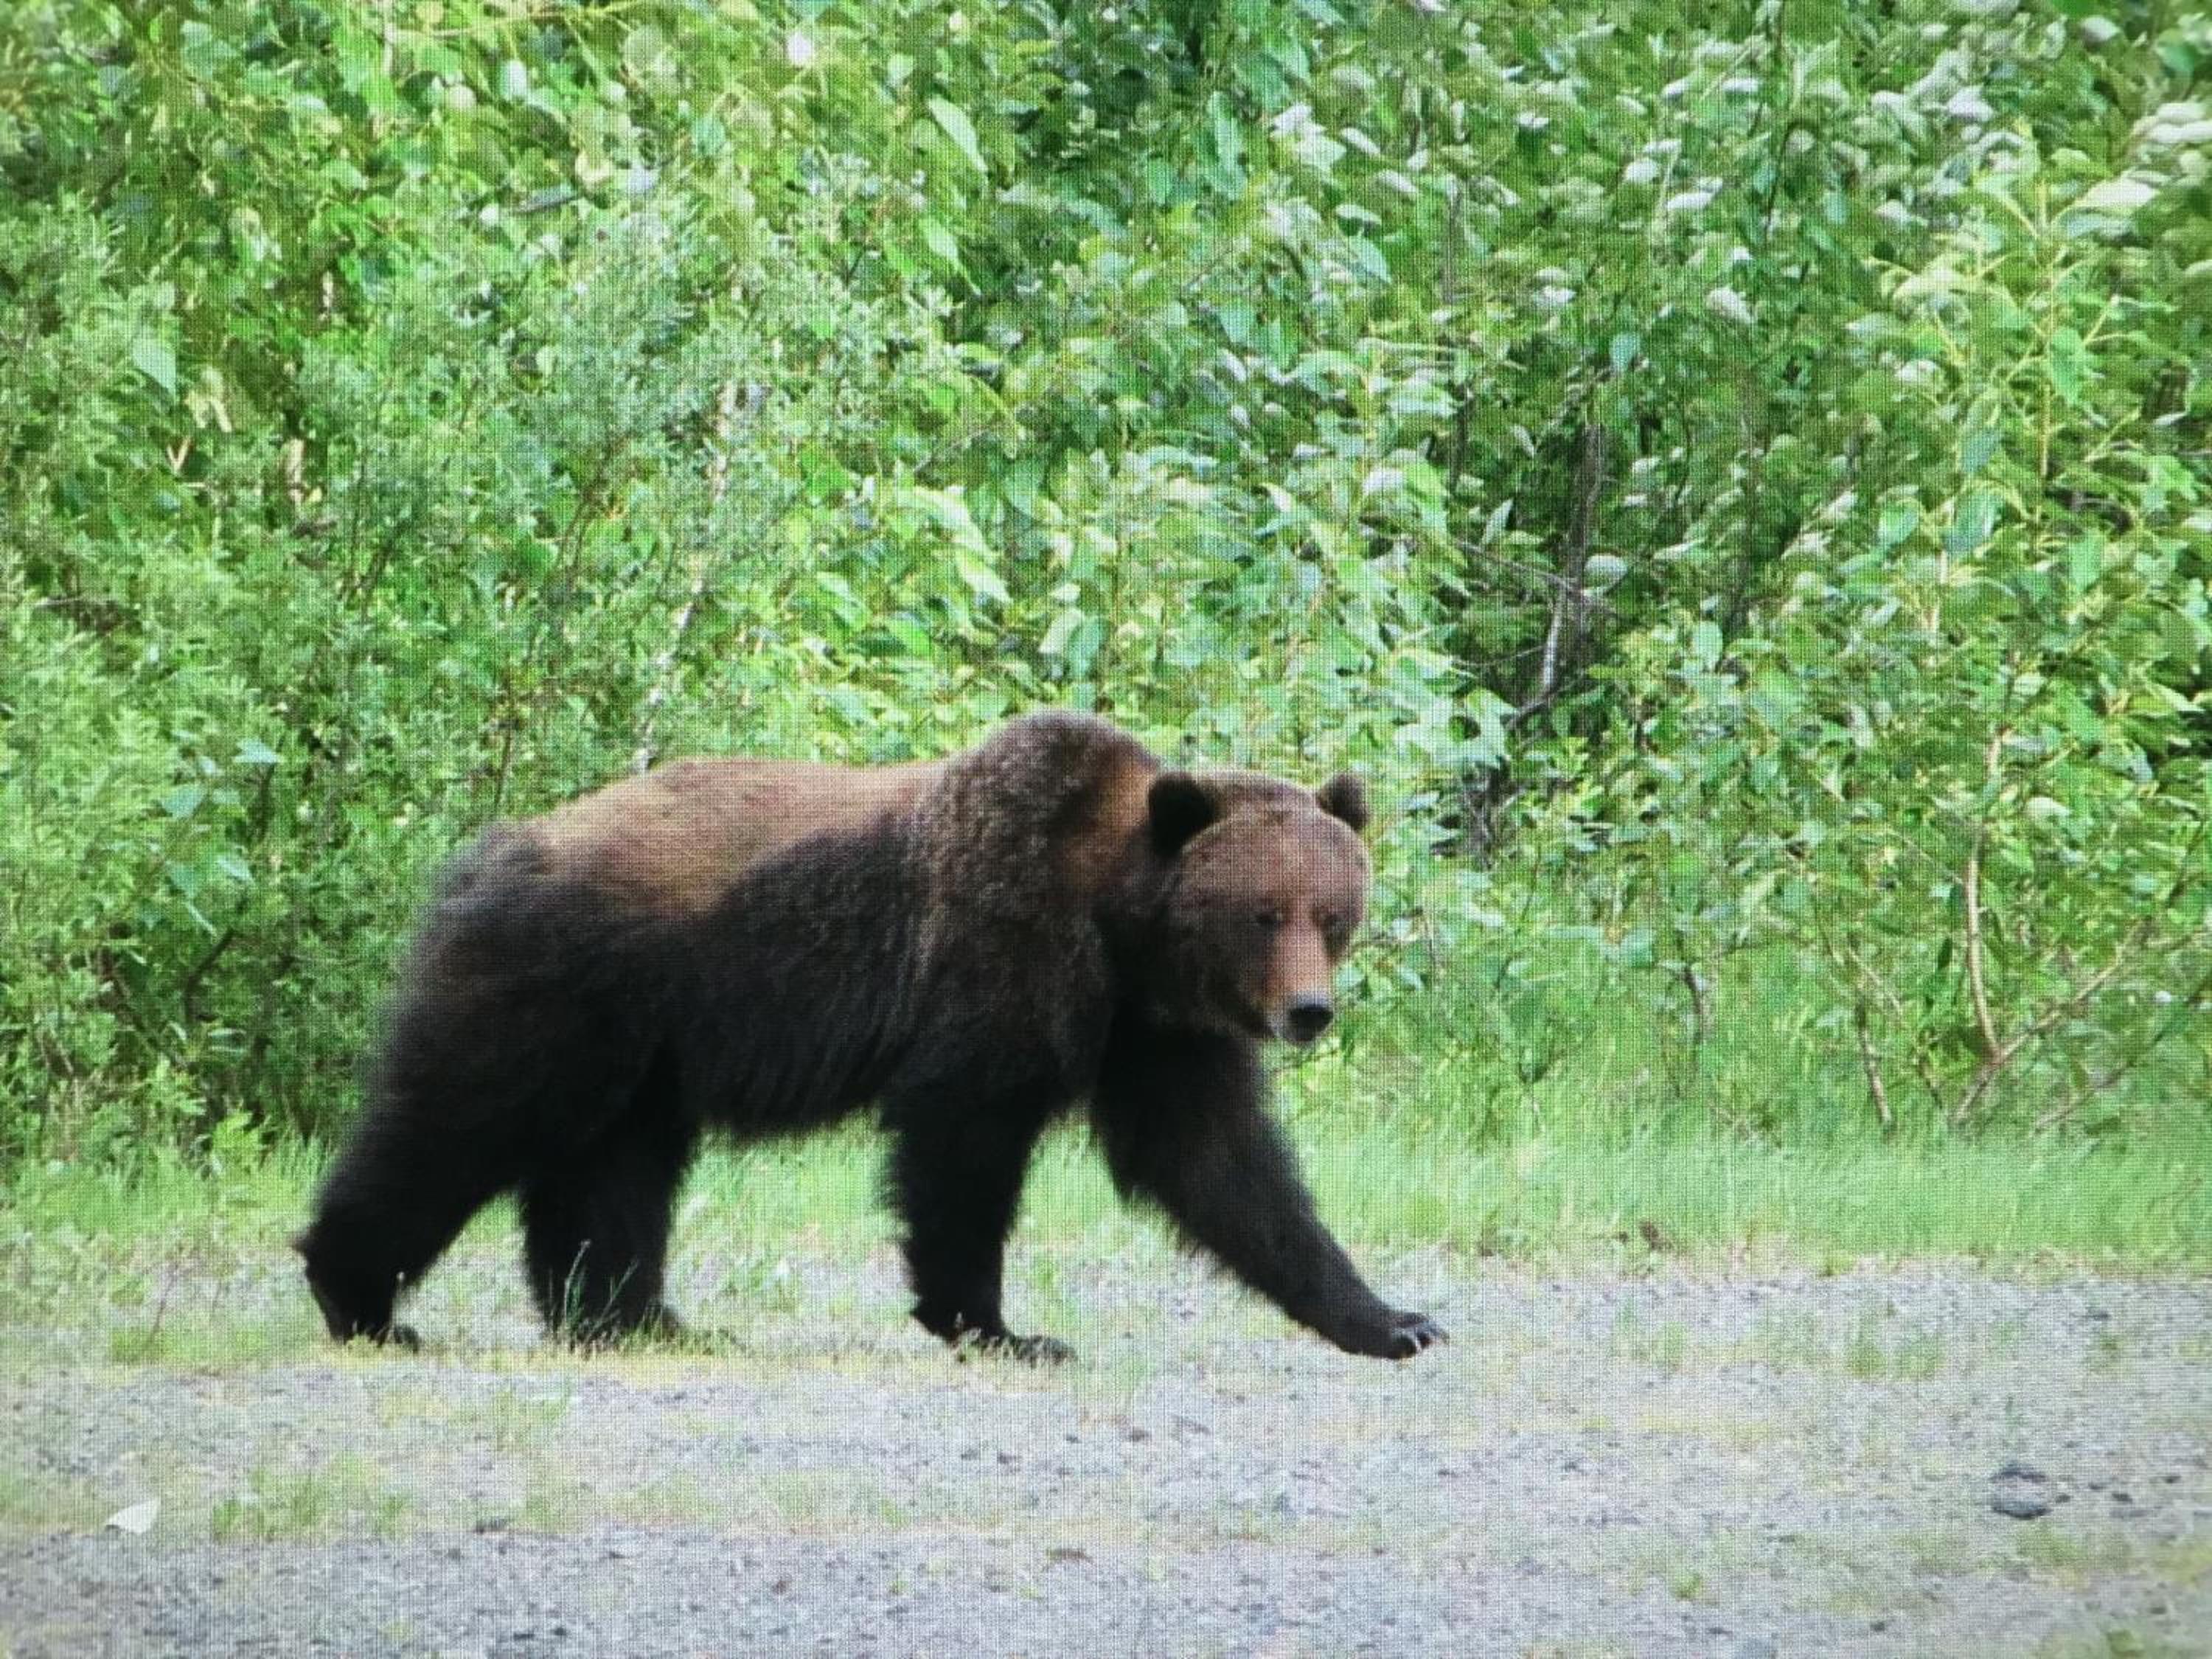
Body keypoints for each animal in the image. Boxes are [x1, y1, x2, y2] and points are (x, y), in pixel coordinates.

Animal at [297, 711, 1446, 1362]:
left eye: (1333, 912)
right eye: (1262, 911)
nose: (1307, 1011)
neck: (1119, 927)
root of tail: (488, 851)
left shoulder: (1154, 1031)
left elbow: (1224, 1168)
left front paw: (1392, 1319)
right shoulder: (997, 956)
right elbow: (963, 1140)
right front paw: (1000, 1326)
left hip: (646, 1042)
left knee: (612, 1169)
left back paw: (635, 1317)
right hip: (563, 988)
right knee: (458, 1118)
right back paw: (365, 1298)